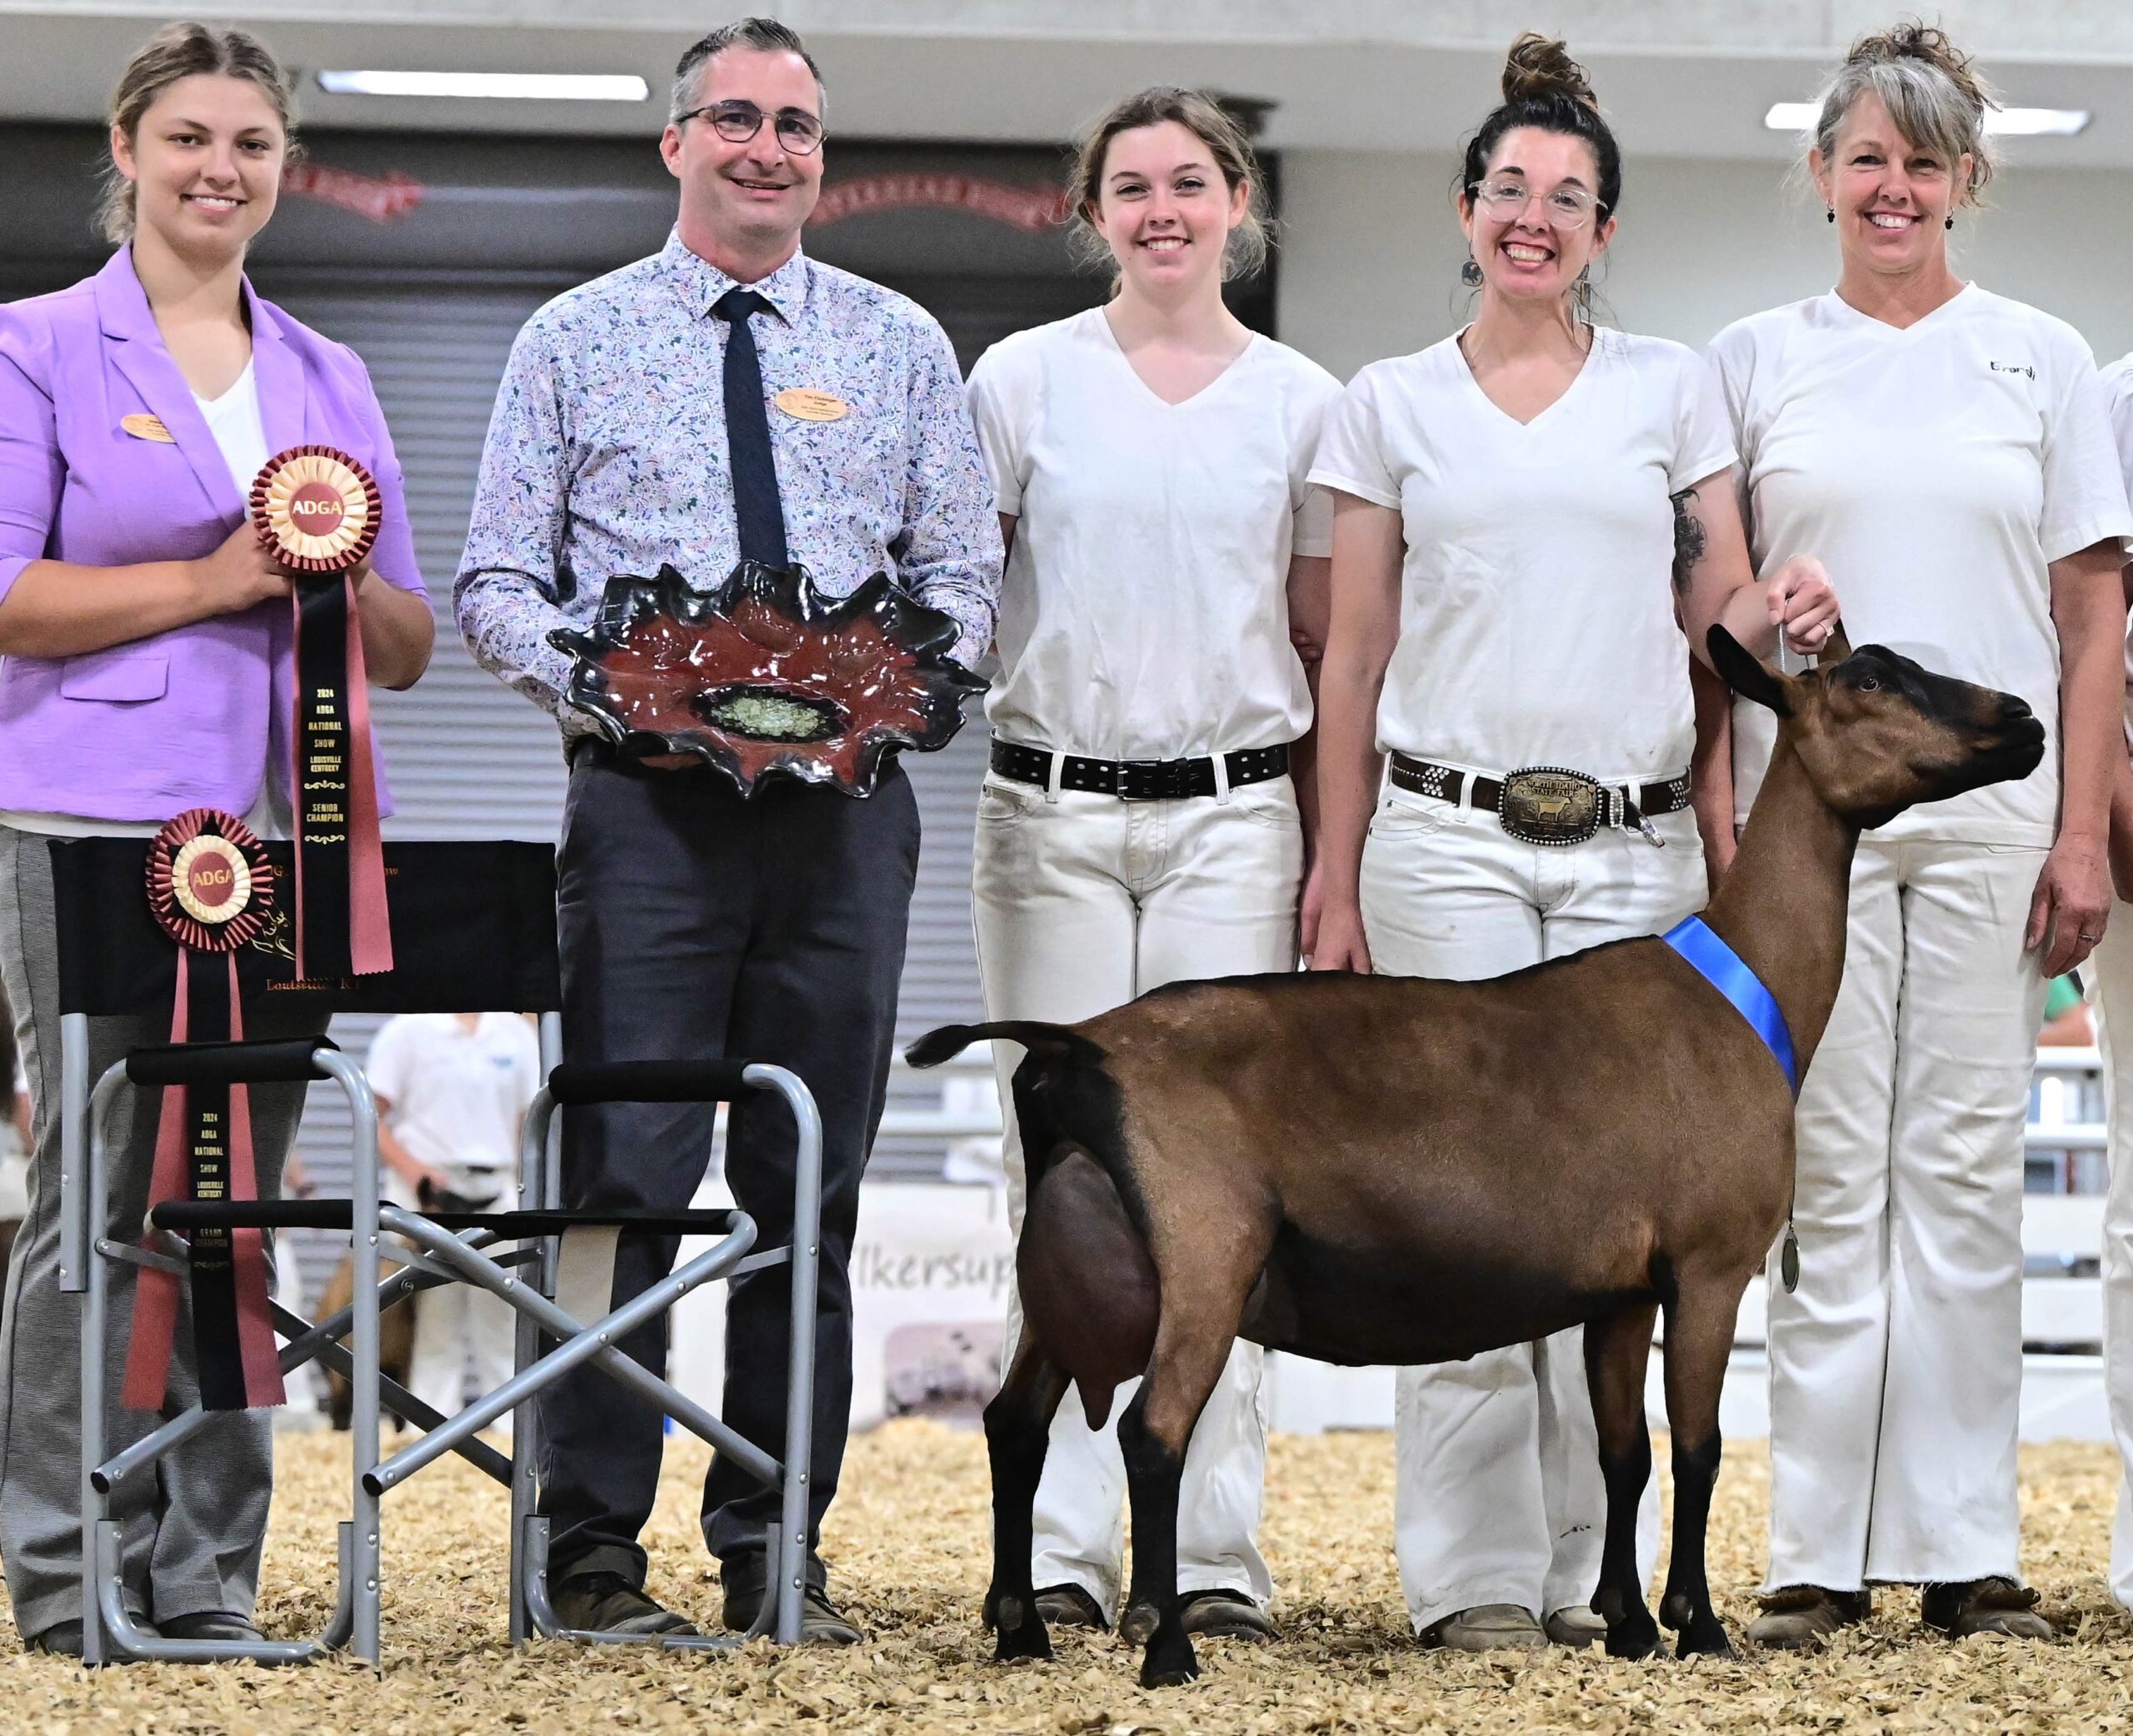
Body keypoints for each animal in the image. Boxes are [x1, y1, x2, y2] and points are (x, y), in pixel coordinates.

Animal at [912, 631, 2047, 1689]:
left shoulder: (1623, 1289)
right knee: (1151, 1430)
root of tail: (1077, 1043)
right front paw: (1698, 1627)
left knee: (1014, 1421)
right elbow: (1697, 1444)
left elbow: (1623, 1451)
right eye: (1869, 680)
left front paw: (1630, 1626)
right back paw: (1164, 1646)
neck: (1744, 983)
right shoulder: (1710, 1263)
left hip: (1075, 1255)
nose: (2028, 720)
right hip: (1203, 1249)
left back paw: (1018, 1629)